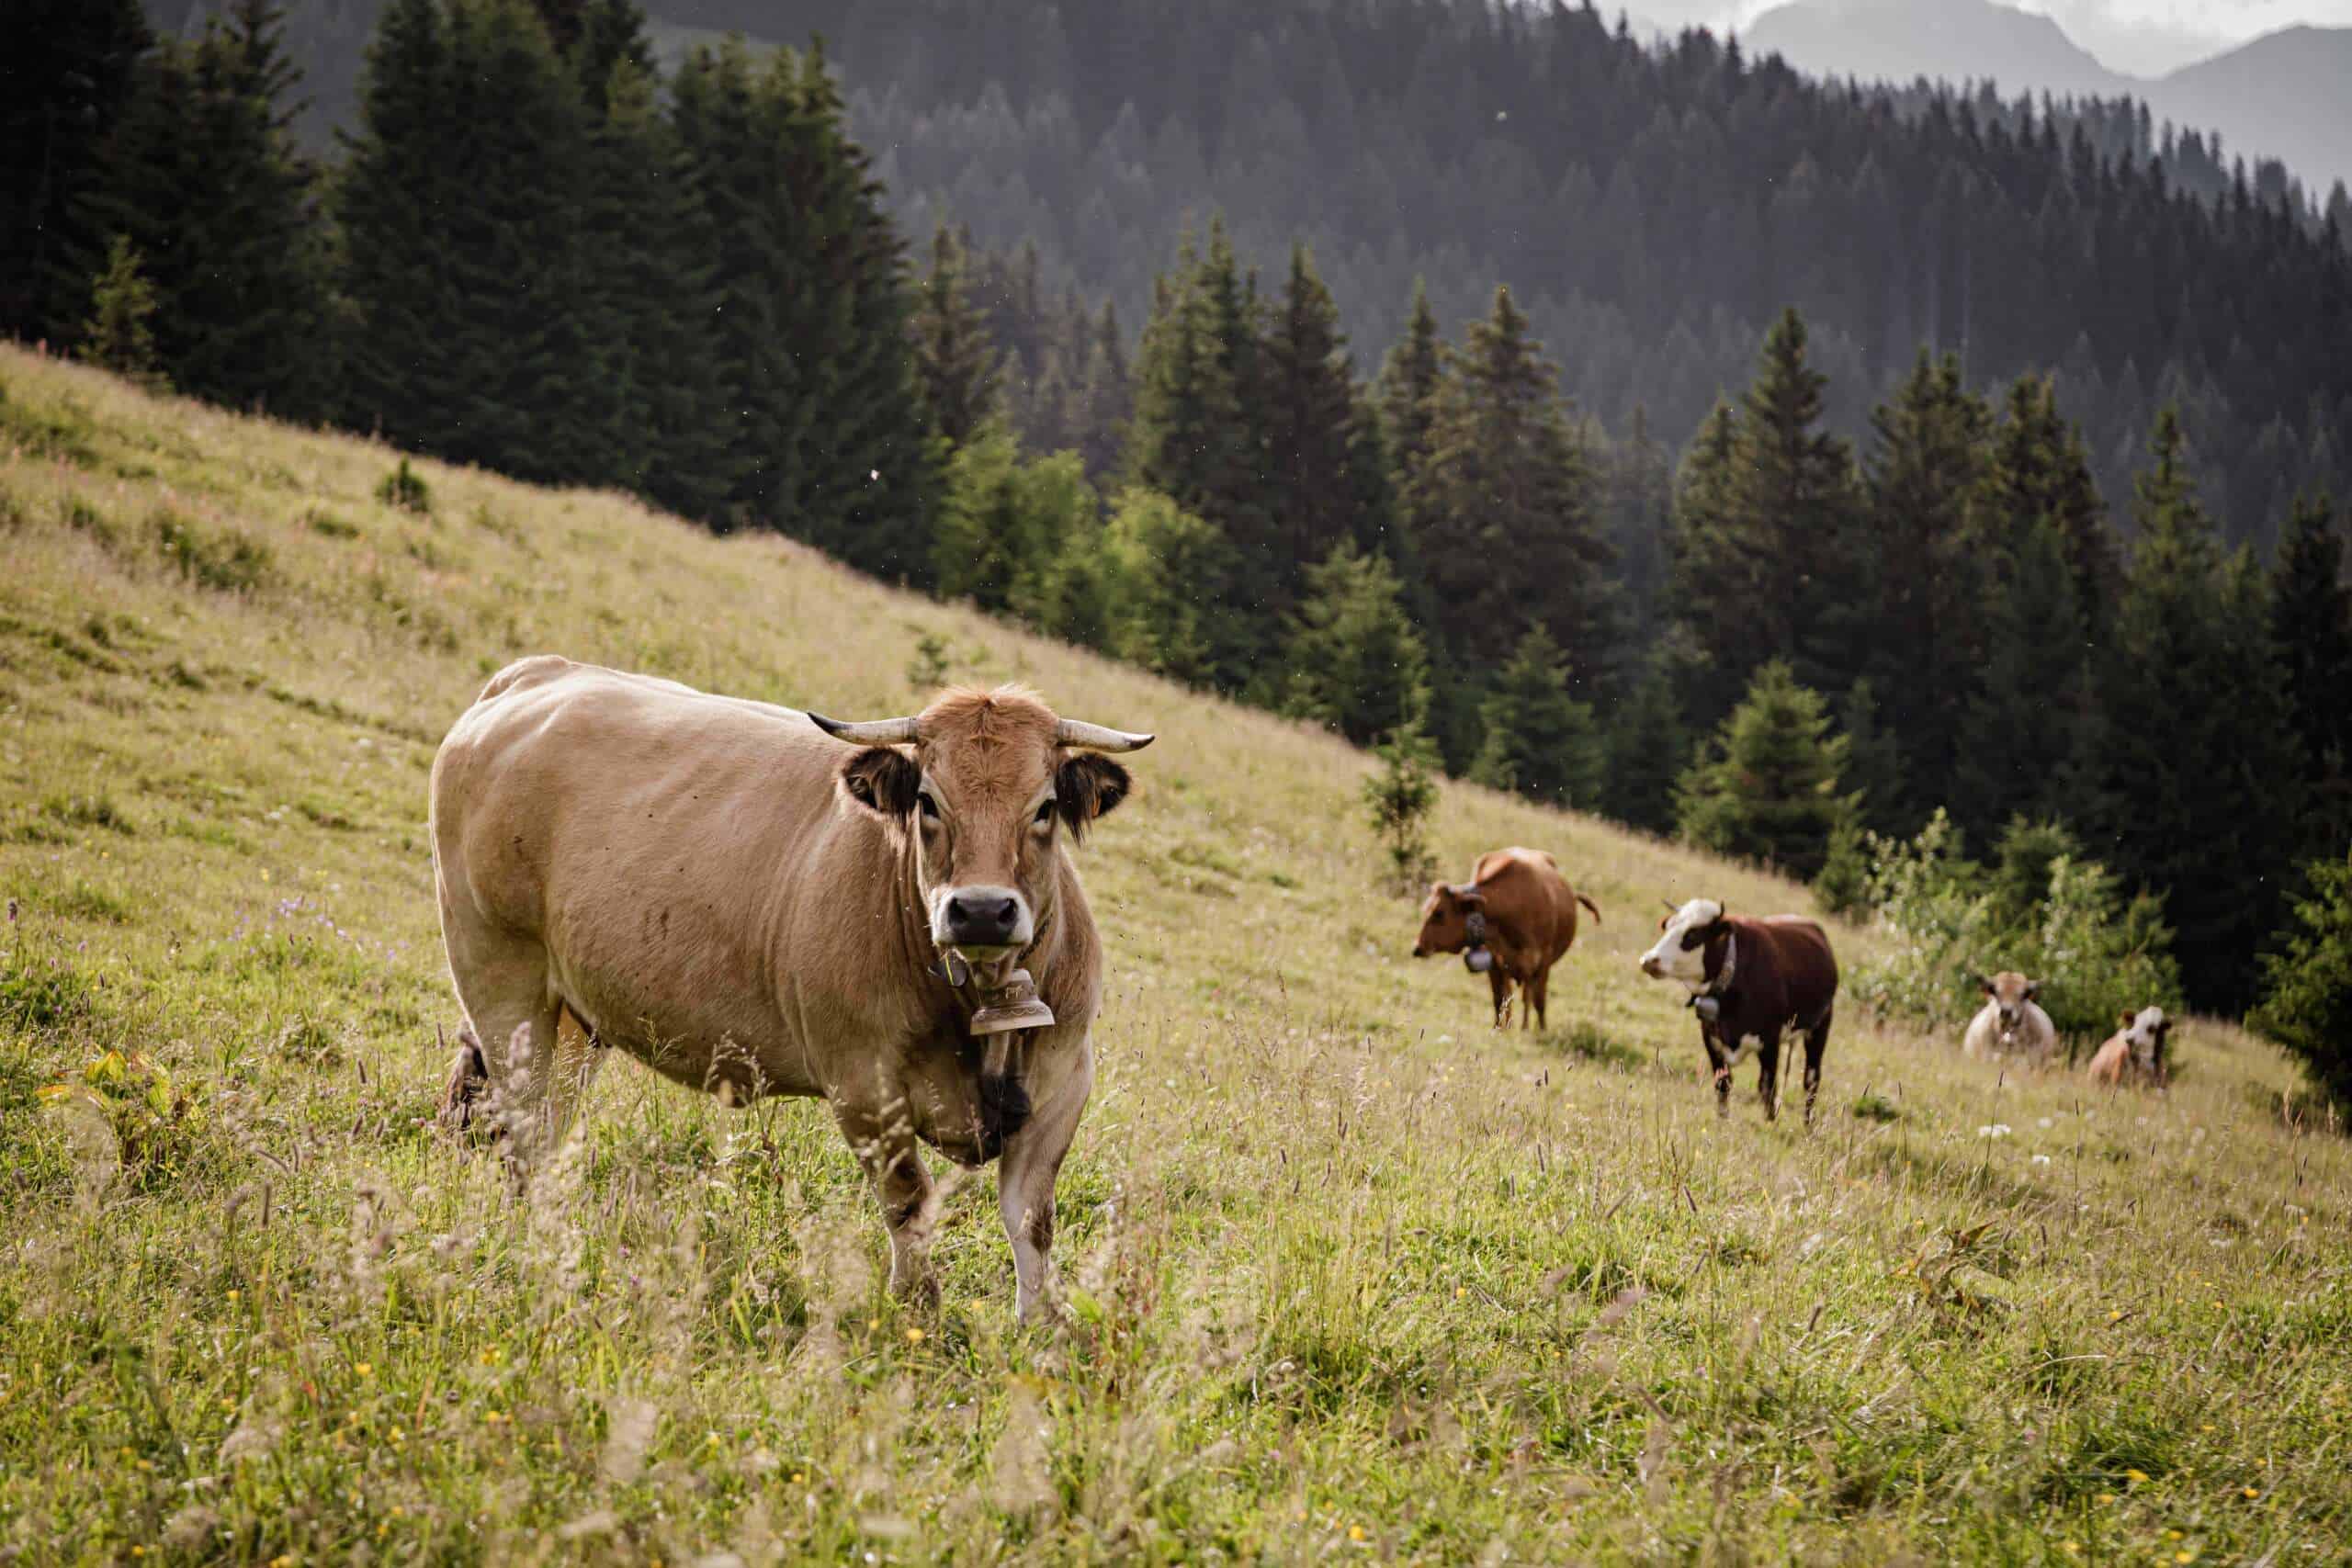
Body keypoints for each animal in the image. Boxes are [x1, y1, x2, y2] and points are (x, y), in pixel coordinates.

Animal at [428, 657, 1151, 1321]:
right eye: (928, 801)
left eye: (1045, 806)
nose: (978, 911)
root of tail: (538, 674)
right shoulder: (863, 1087)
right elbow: (909, 1204)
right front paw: (917, 1316)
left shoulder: (1064, 1080)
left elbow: (1032, 1219)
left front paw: (1042, 1334)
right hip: (500, 974)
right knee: (523, 1122)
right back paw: (538, 1246)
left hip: (577, 1016)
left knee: (545, 1123)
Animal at [1411, 847, 1601, 1031]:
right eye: (1426, 909)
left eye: (1439, 913)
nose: (1417, 948)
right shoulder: (1495, 962)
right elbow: (1500, 999)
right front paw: (1499, 1029)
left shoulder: (1541, 962)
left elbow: (1537, 1000)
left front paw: (1536, 1029)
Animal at [1638, 898, 1838, 1123]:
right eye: (1668, 927)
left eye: (1692, 934)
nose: (1649, 960)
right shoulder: (1711, 1039)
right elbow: (1722, 1083)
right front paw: (1723, 1121)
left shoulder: (1769, 1042)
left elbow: (1767, 1088)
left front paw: (1769, 1124)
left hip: (1820, 1027)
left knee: (1811, 1080)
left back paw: (1808, 1123)